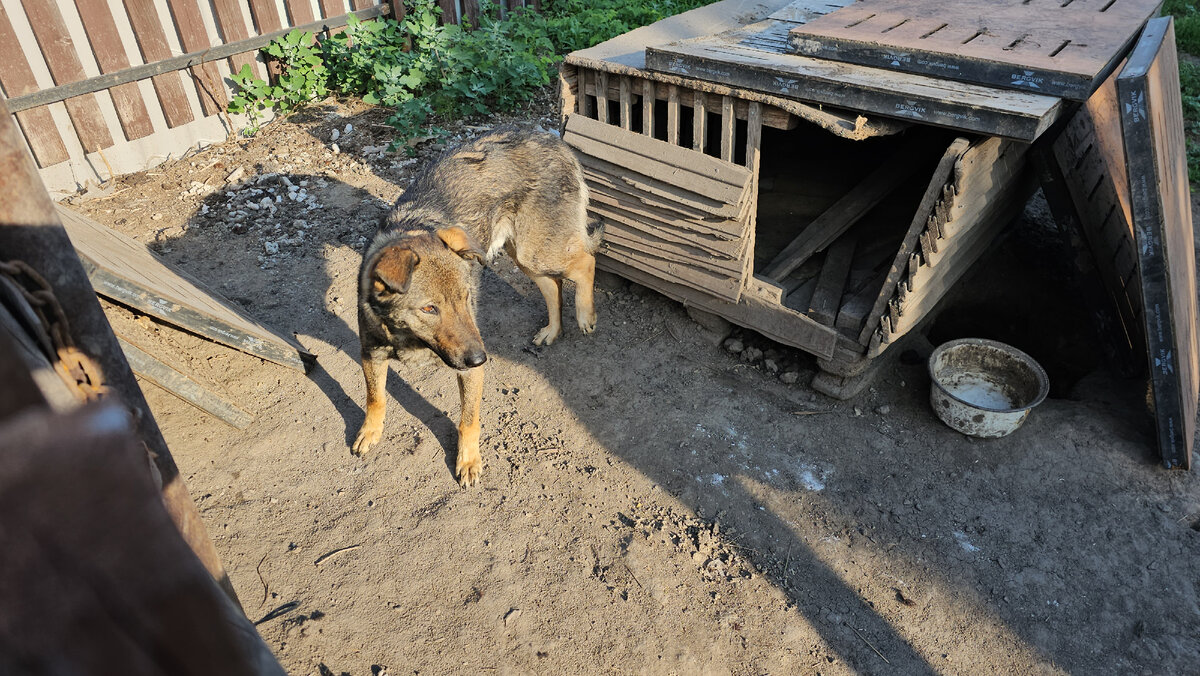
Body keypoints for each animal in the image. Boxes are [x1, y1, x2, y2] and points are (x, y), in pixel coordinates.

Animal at [350, 128, 604, 487]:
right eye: (430, 309)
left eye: (466, 297)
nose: (480, 358)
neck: (410, 339)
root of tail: (554, 140)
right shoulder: (370, 354)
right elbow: (375, 398)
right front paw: (370, 432)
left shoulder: (470, 371)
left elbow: (467, 420)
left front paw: (468, 461)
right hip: (524, 256)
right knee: (553, 286)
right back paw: (552, 331)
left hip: (538, 251)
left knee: (586, 261)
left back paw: (585, 316)